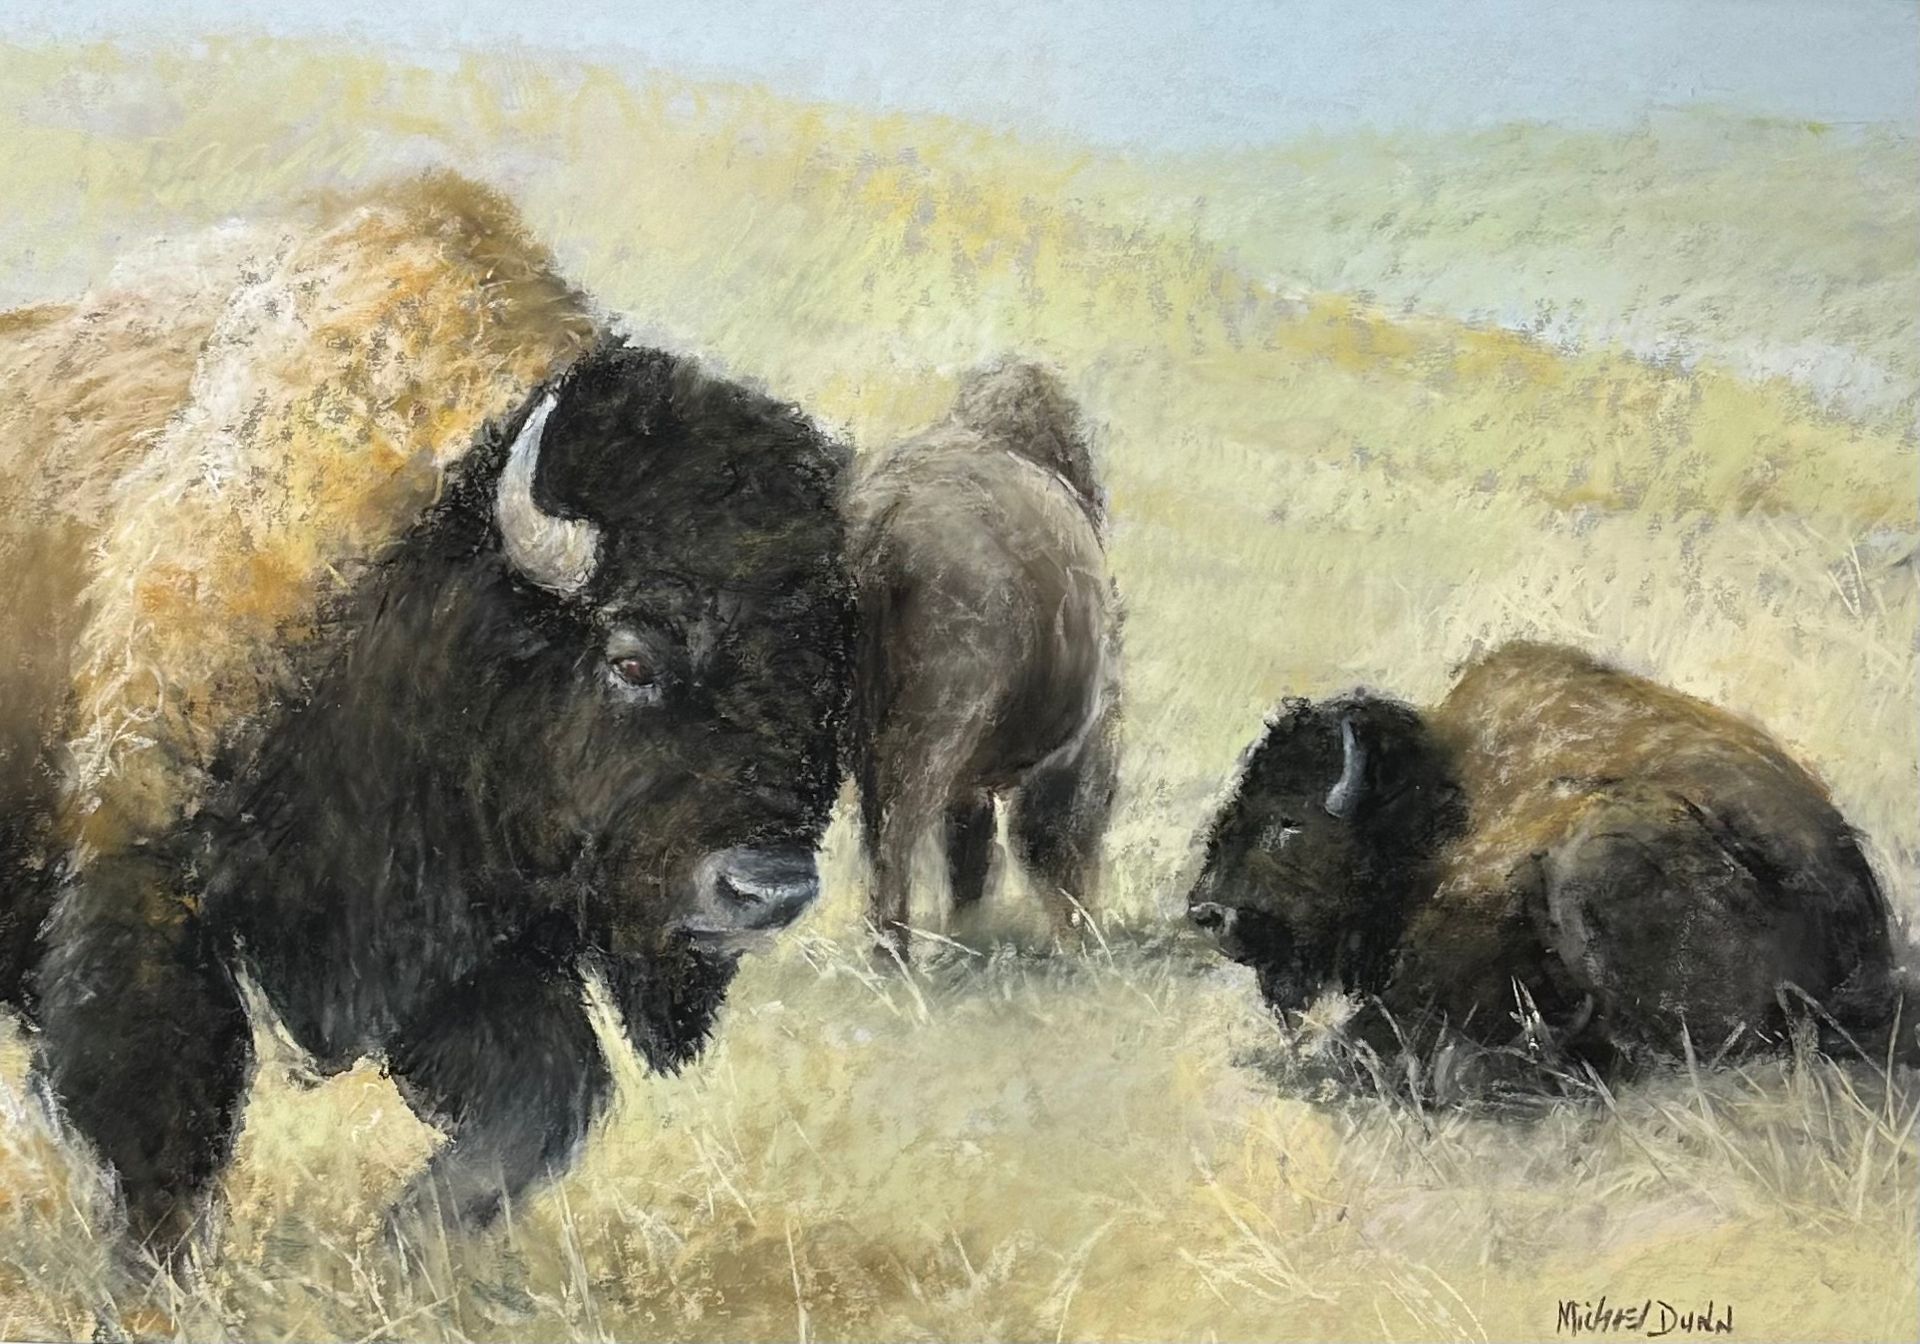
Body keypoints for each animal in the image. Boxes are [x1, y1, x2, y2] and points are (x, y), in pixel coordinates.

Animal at [0, 175, 852, 1262]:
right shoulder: (148, 888)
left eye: (827, 681)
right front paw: (156, 1280)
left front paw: (410, 1251)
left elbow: (538, 1104)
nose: (767, 888)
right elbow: (162, 1126)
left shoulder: (472, 952)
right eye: (632, 656)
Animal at [848, 361, 1120, 962]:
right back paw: (894, 952)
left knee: (882, 832)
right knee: (901, 827)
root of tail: (882, 518)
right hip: (934, 729)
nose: (1088, 930)